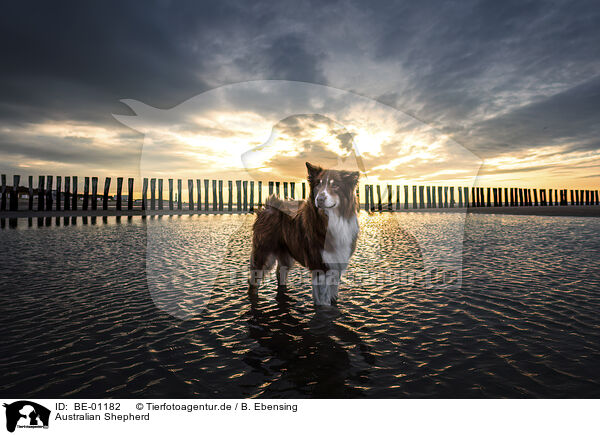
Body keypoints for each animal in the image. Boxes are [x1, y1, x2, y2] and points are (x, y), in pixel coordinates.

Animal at [250, 161, 360, 306]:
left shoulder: (336, 264)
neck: (331, 220)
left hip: (286, 255)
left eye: (335, 185)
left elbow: (333, 296)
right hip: (264, 254)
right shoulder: (319, 265)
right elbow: (323, 302)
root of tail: (269, 205)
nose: (320, 199)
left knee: (280, 273)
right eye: (318, 184)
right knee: (253, 282)